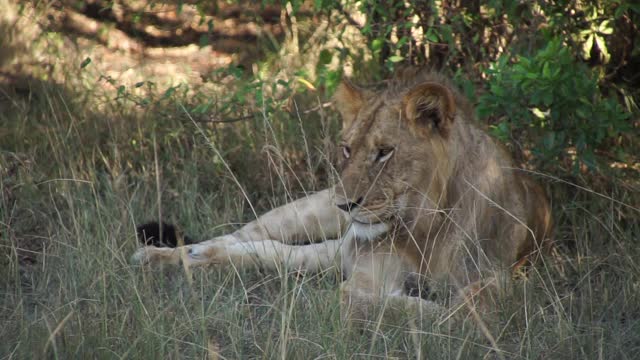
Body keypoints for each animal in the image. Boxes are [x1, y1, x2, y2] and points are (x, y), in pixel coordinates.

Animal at [130, 67, 552, 318]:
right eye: (347, 149)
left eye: (384, 152)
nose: (345, 205)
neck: (424, 225)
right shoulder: (366, 275)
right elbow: (369, 299)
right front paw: (426, 305)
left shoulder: (499, 279)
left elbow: (466, 307)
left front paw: (440, 306)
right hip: (305, 213)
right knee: (236, 237)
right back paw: (164, 257)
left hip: (325, 250)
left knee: (268, 253)